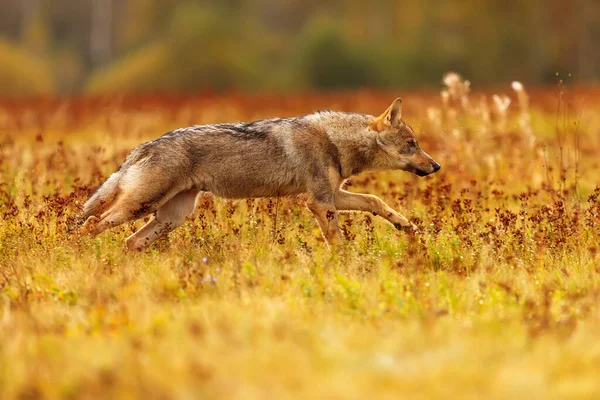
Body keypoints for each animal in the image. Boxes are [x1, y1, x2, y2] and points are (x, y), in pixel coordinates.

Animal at [79, 97, 440, 250]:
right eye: (412, 144)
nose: (436, 166)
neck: (335, 140)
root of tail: (140, 147)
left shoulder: (332, 195)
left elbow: (376, 201)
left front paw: (406, 226)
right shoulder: (319, 202)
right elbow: (336, 240)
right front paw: (346, 263)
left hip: (171, 217)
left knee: (129, 241)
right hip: (141, 207)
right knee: (89, 225)